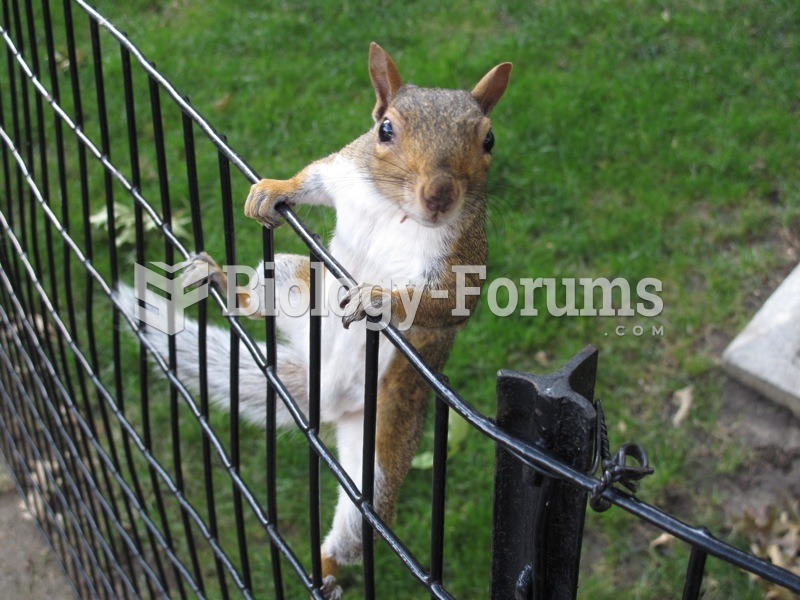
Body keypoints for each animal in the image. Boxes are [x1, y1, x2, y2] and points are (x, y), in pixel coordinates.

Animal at [124, 43, 512, 600]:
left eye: (489, 140)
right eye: (384, 130)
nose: (439, 196)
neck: (396, 210)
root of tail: (322, 395)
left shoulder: (461, 259)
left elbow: (448, 303)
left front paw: (378, 297)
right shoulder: (345, 172)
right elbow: (315, 176)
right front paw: (272, 189)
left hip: (380, 444)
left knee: (354, 530)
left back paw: (325, 573)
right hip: (291, 278)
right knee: (254, 301)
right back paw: (218, 279)